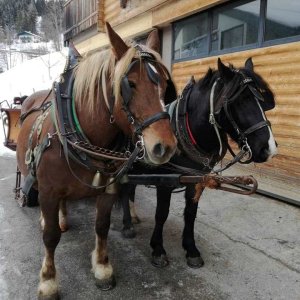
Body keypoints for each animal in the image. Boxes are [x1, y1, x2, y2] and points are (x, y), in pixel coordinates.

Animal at [15, 22, 176, 298]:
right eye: (129, 84)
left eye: (165, 84)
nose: (163, 146)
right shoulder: (48, 192)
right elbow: (50, 237)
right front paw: (48, 281)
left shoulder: (108, 189)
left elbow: (102, 226)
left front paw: (102, 268)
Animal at [119, 57, 276, 268]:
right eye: (239, 101)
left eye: (263, 102)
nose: (269, 149)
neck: (184, 130)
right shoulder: (165, 180)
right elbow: (162, 213)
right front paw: (158, 249)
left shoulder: (196, 180)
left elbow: (190, 213)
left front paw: (191, 249)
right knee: (124, 190)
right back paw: (127, 224)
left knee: (130, 189)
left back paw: (133, 217)